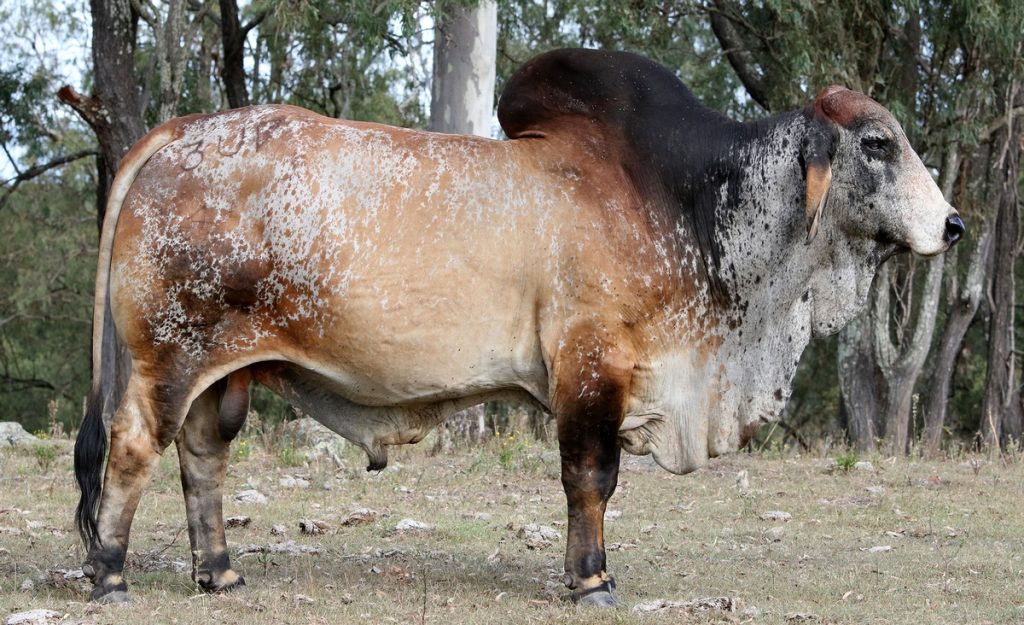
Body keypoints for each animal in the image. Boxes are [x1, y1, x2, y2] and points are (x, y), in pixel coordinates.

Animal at [75, 48, 962, 602]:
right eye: (877, 143)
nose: (953, 226)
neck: (681, 200)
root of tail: (177, 132)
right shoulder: (592, 368)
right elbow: (591, 478)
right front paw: (593, 580)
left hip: (222, 373)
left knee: (202, 459)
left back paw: (220, 573)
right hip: (166, 358)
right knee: (133, 447)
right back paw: (112, 575)